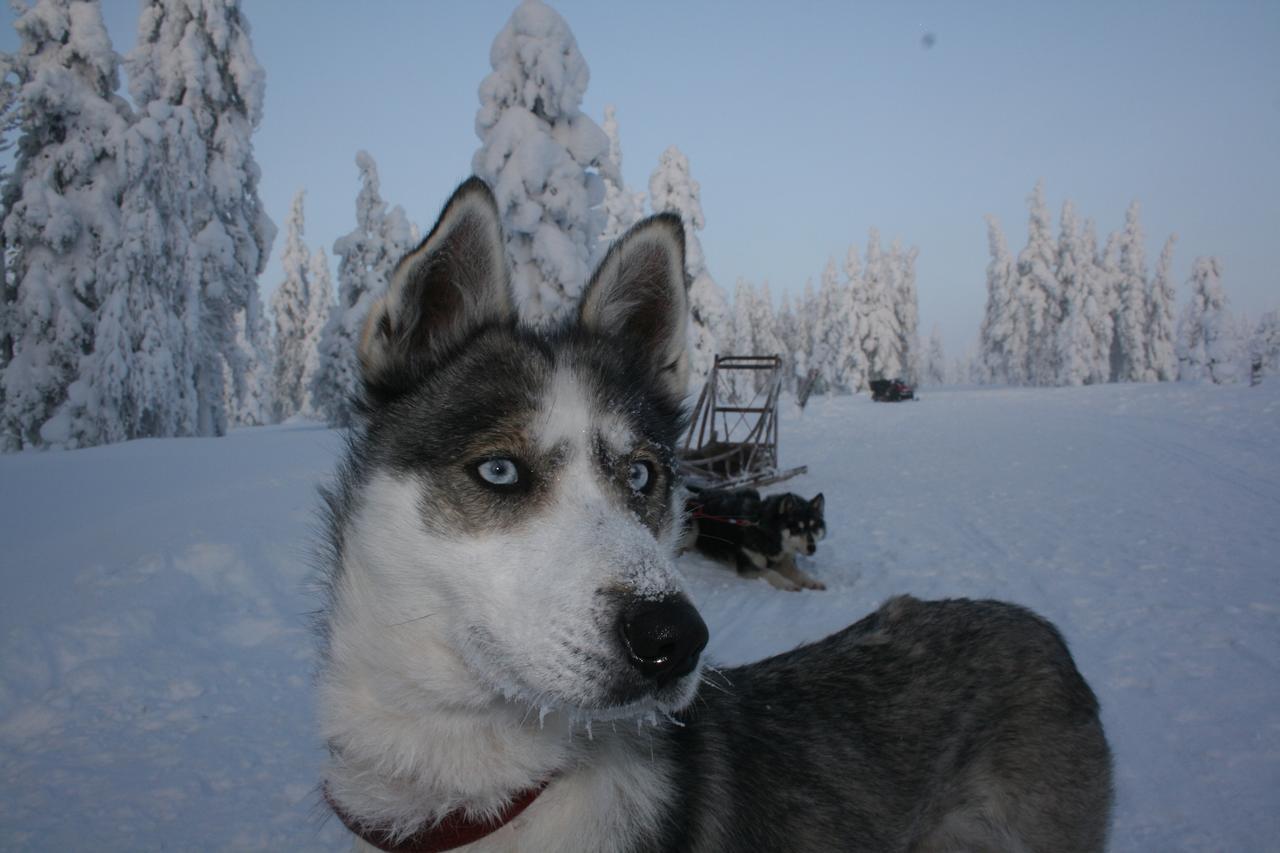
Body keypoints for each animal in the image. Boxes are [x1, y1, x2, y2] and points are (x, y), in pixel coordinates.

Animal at [680, 481, 829, 589]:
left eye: (814, 527)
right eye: (797, 529)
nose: (812, 548)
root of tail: (700, 494)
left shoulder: (784, 560)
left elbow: (797, 573)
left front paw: (811, 581)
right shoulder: (748, 567)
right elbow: (770, 572)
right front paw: (787, 584)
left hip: (750, 491)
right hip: (693, 528)